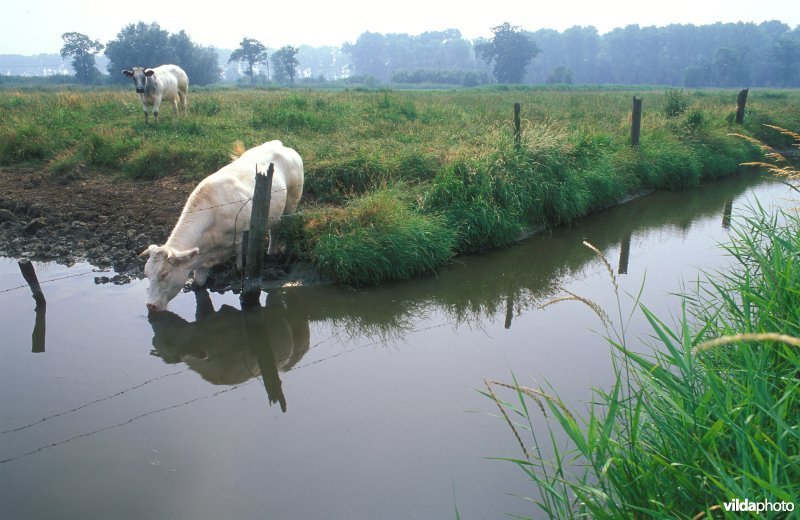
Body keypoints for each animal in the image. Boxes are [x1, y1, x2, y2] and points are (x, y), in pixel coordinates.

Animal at [140, 140, 304, 312]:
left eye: (164, 274)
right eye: (147, 274)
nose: (150, 305)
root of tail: (278, 144)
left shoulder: (241, 237)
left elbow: (240, 267)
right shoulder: (201, 259)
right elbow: (199, 283)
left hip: (292, 200)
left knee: (279, 229)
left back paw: (273, 254)